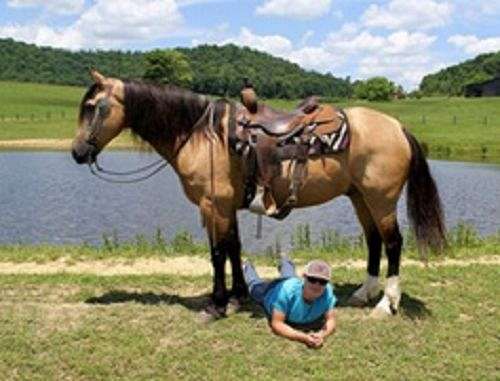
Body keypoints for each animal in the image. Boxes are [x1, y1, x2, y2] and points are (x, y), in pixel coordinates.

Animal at [70, 70, 446, 318]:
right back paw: (363, 293)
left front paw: (217, 304)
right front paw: (238, 297)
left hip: (381, 200)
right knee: (374, 241)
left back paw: (385, 304)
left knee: (393, 243)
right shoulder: (227, 207)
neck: (203, 136)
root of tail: (397, 126)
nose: (76, 152)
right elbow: (235, 249)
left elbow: (218, 253)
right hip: (360, 198)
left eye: (93, 106)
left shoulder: (213, 206)